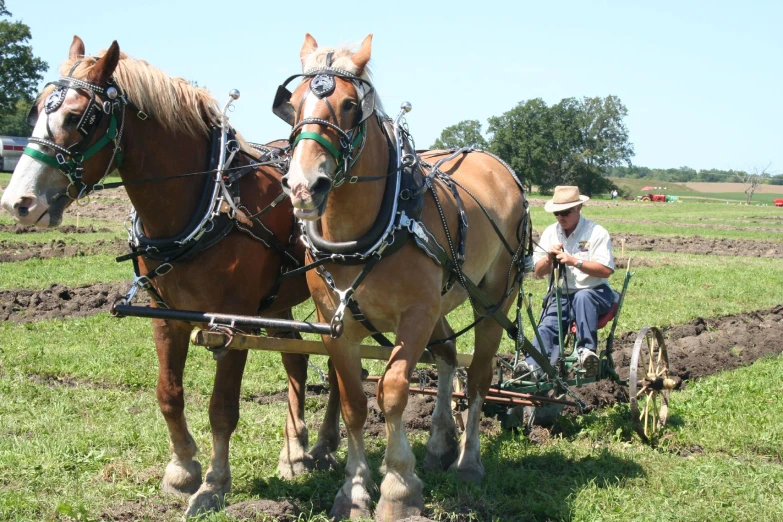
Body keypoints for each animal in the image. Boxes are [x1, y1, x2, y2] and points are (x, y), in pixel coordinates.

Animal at [278, 34, 528, 516]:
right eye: (292, 103)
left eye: (351, 105)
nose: (304, 186)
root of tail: (494, 162)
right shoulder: (335, 324)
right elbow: (355, 402)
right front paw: (354, 489)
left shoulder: (414, 315)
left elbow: (392, 391)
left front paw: (398, 489)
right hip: (442, 299)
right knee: (448, 353)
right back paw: (440, 445)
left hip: (493, 297)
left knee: (479, 374)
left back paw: (468, 461)